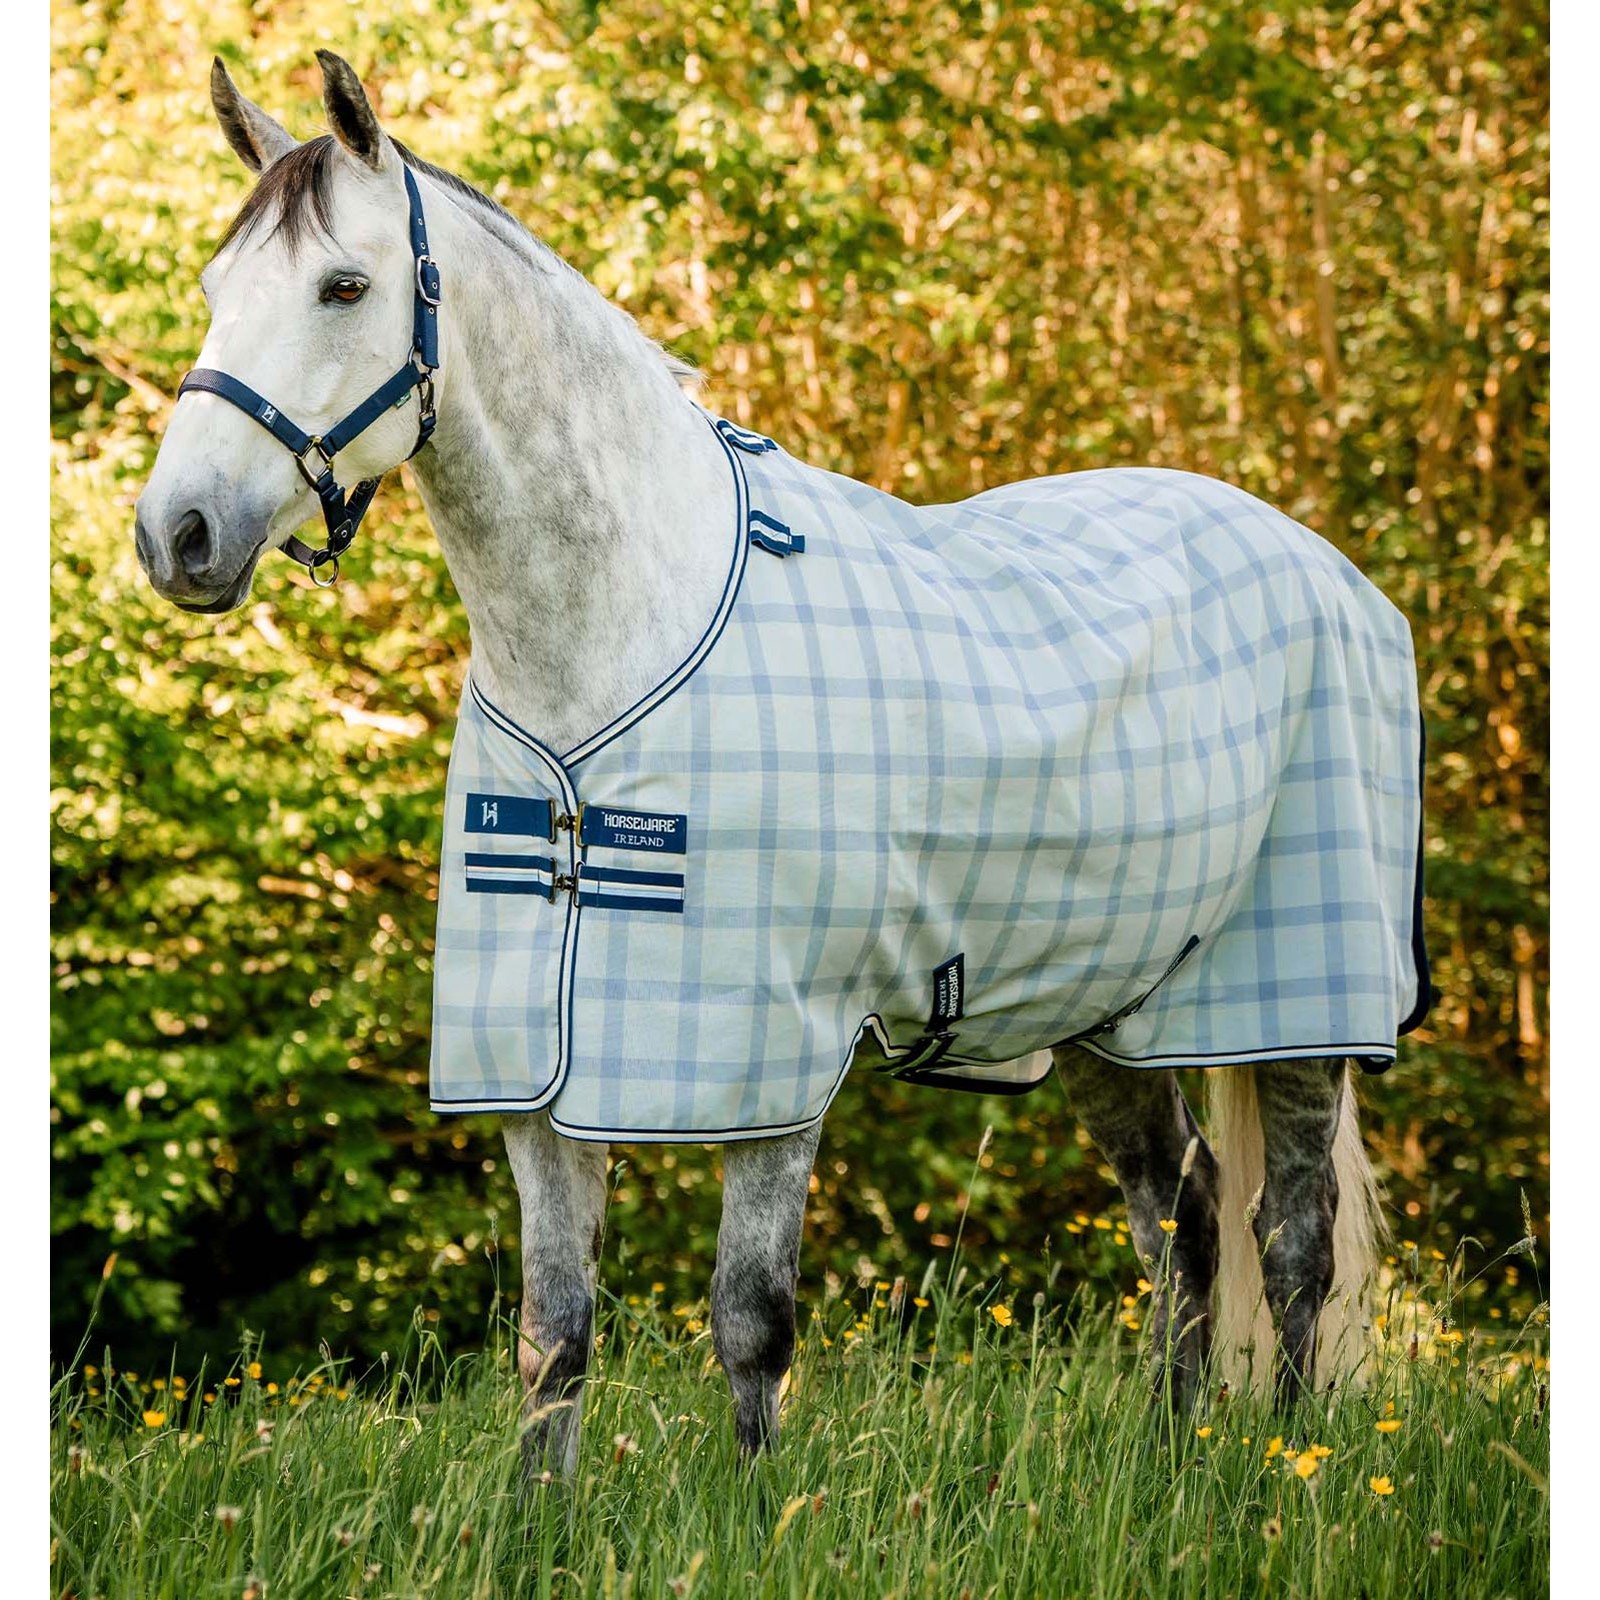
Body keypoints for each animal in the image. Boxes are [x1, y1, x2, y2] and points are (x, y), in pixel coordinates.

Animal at [136, 52, 1428, 1473]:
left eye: (343, 287)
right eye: (216, 290)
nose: (177, 534)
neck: (615, 634)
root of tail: (1324, 566)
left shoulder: (767, 1065)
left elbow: (750, 1322)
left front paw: (761, 1509)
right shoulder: (537, 1082)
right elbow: (553, 1339)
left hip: (1297, 1005)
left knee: (1290, 1242)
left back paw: (1288, 1468)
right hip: (1105, 997)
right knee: (1182, 1215)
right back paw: (1168, 1455)